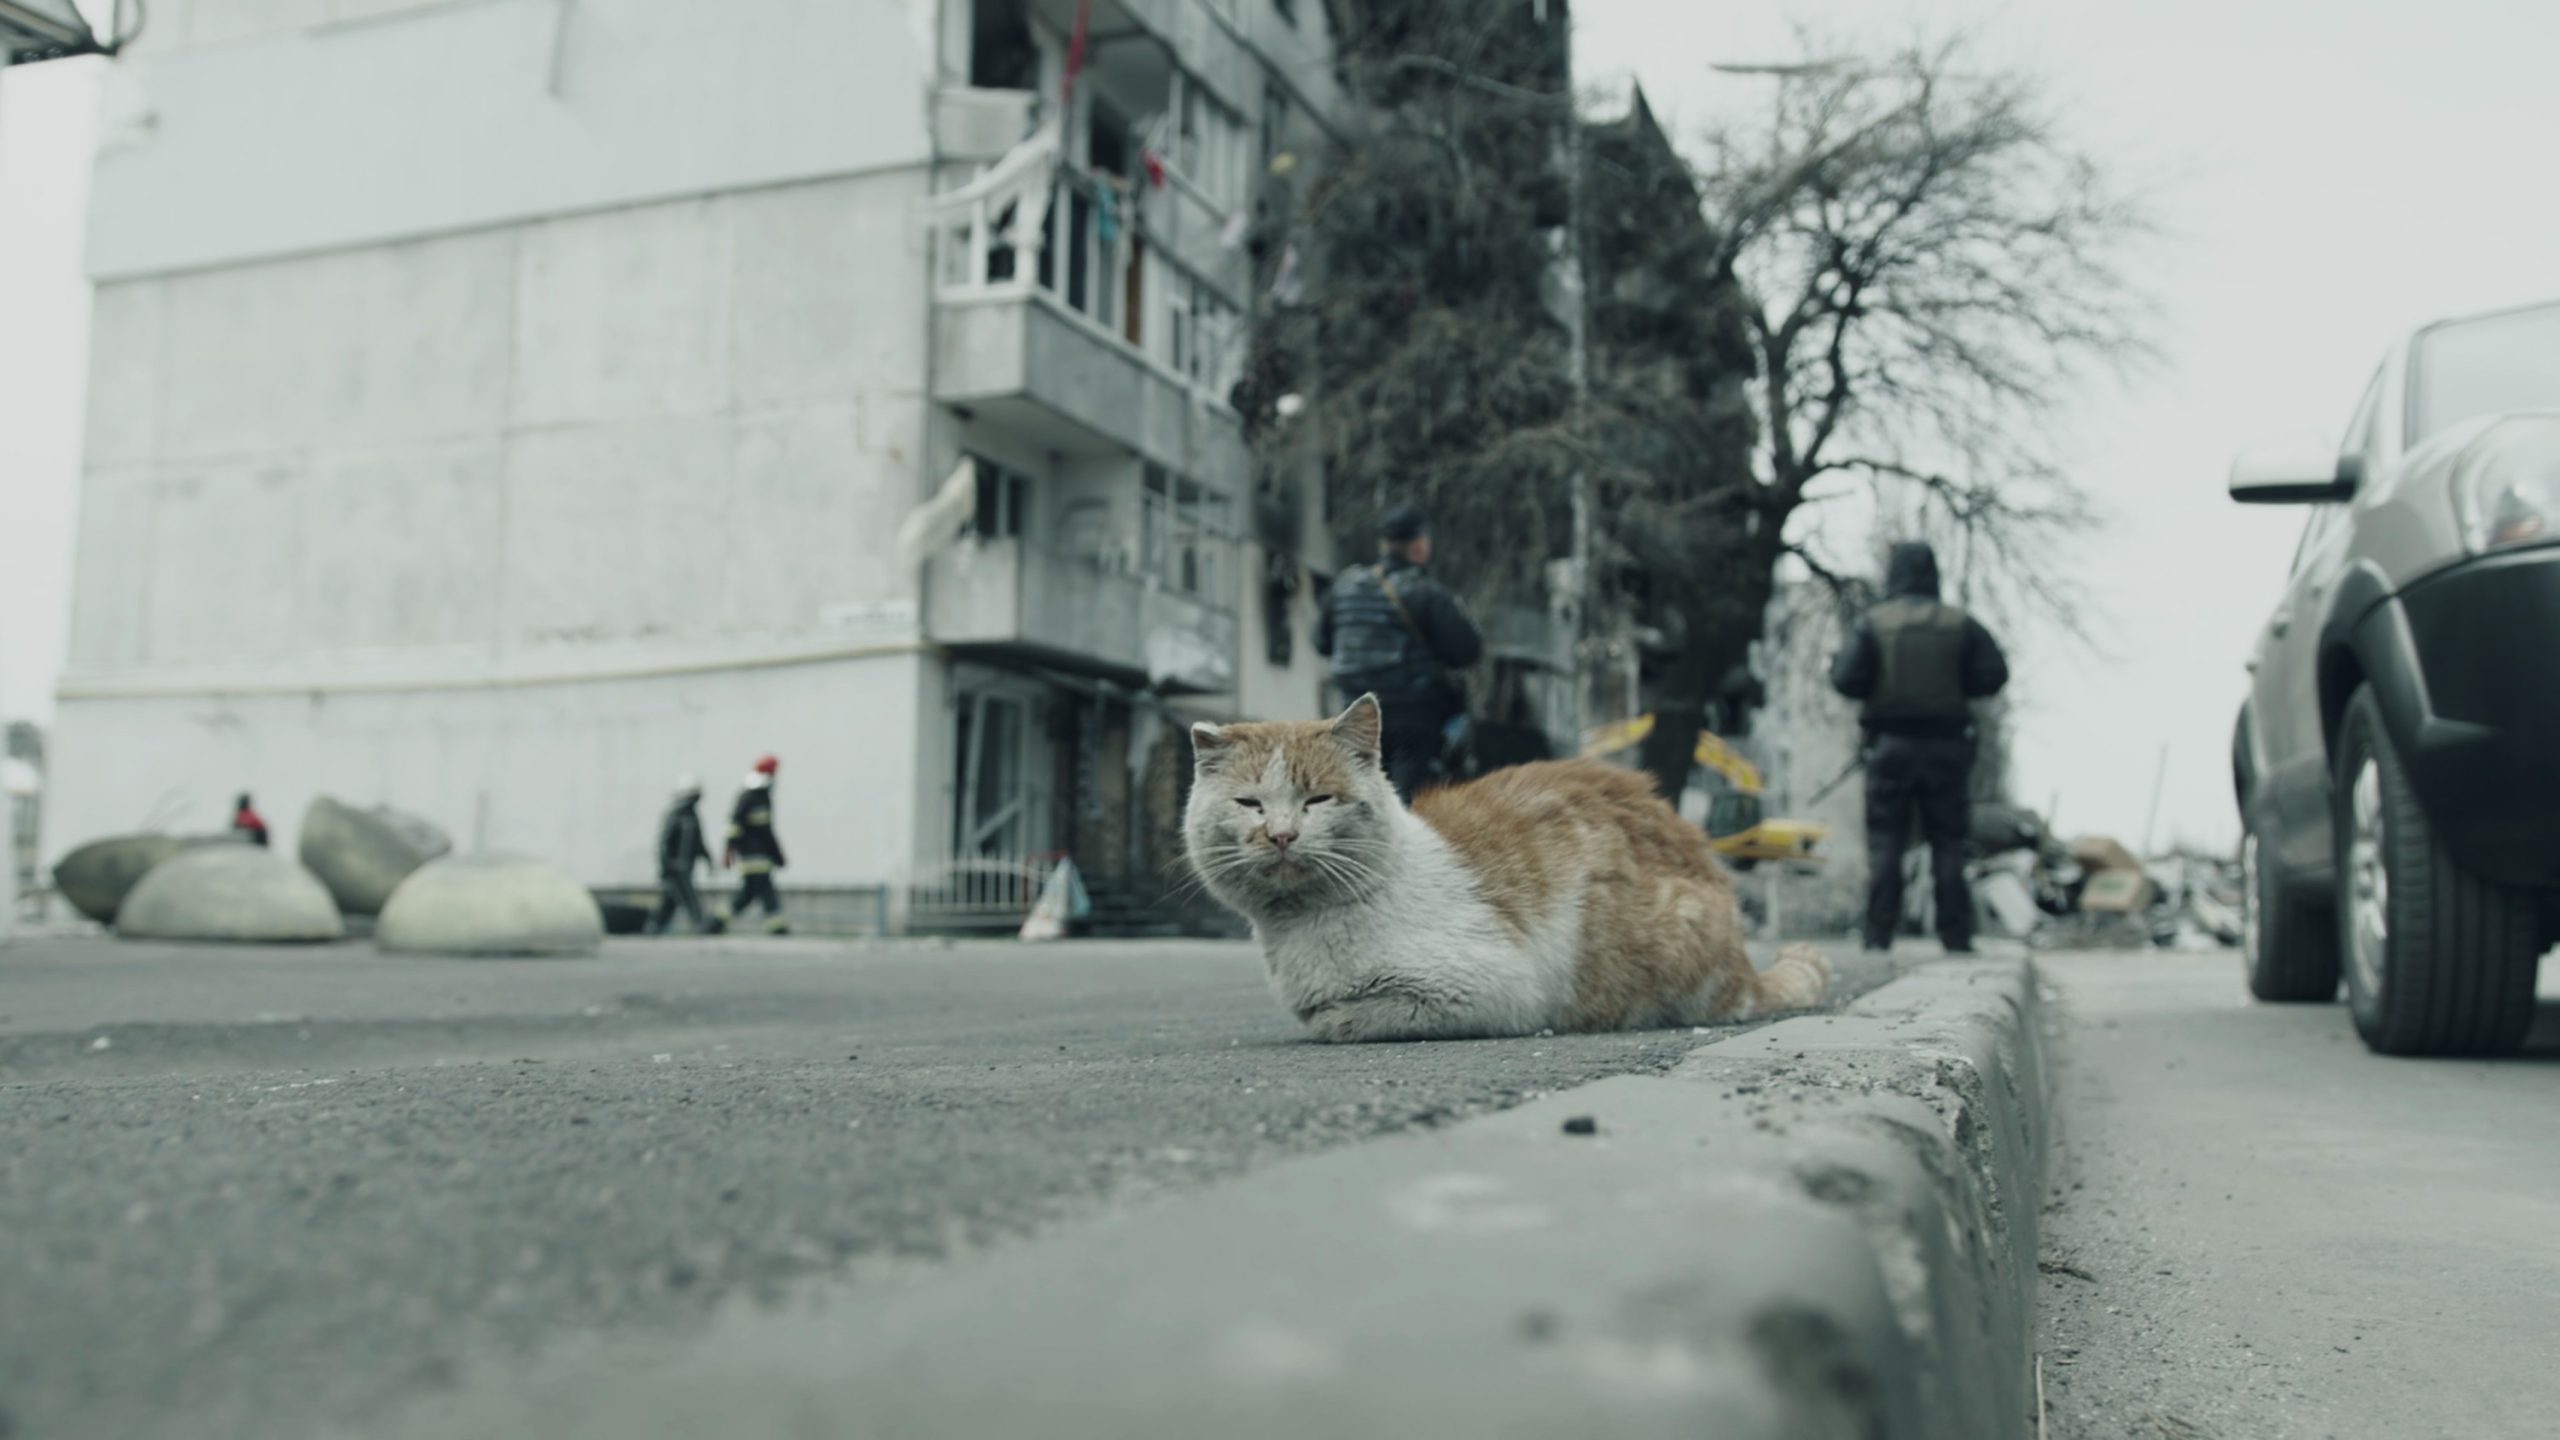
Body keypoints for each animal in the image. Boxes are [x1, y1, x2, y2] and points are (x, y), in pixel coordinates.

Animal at [1187, 691, 1832, 1035]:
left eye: (1318, 799)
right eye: (1250, 804)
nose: (1281, 834)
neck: (1299, 931)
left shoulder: (1485, 990)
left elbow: (1345, 1019)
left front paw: (1337, 1018)